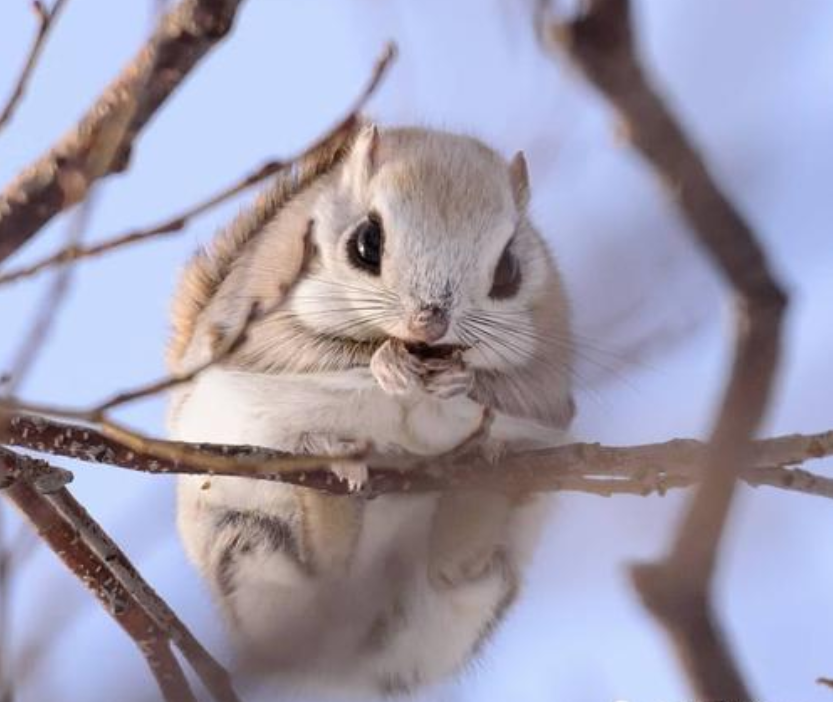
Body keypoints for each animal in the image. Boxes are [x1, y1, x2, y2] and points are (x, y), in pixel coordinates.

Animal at [166, 124, 576, 700]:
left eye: (509, 269)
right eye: (366, 243)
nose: (431, 322)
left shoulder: (547, 377)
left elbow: (514, 390)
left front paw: (460, 380)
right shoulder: (262, 329)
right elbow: (330, 354)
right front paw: (387, 365)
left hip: (472, 597)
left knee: (456, 570)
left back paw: (481, 480)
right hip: (243, 545)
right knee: (325, 569)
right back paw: (334, 469)